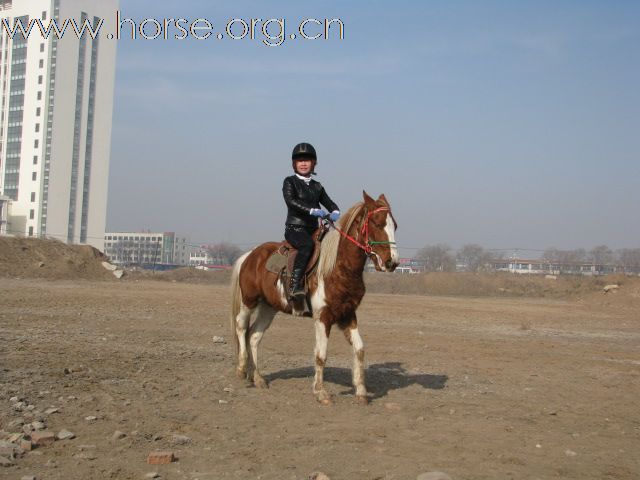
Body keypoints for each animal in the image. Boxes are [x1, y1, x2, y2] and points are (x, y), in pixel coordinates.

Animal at [230, 191, 400, 404]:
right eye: (377, 224)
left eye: (394, 225)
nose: (393, 262)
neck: (338, 268)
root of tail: (250, 255)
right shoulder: (323, 318)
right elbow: (321, 355)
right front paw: (321, 392)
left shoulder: (348, 315)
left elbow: (359, 349)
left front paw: (361, 392)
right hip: (249, 301)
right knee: (241, 327)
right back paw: (241, 370)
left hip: (269, 308)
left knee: (253, 336)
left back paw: (258, 378)